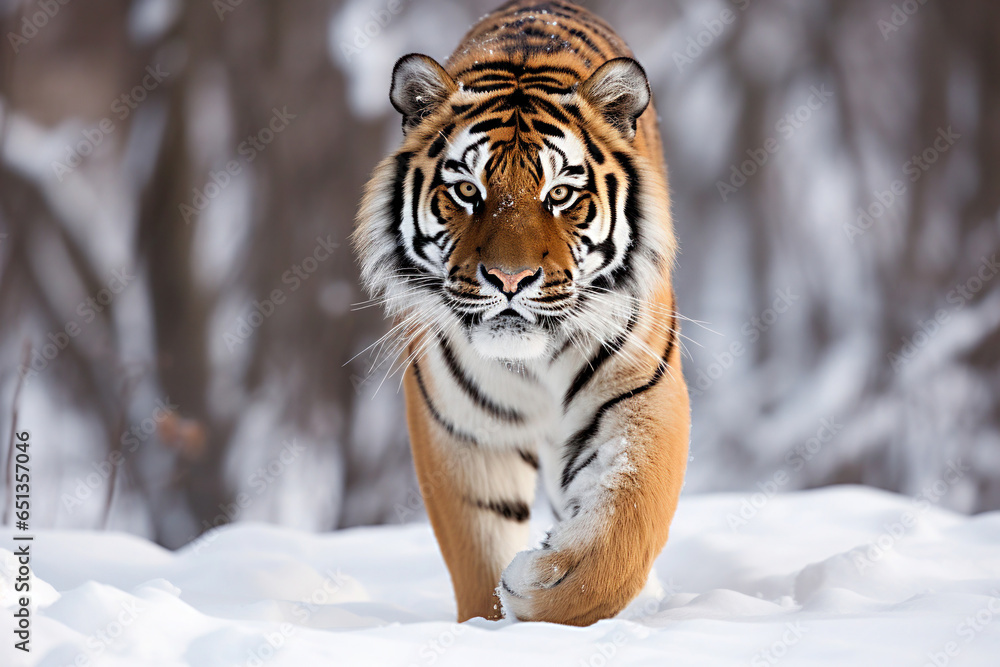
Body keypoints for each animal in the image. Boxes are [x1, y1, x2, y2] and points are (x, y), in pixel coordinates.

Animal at [354, 0, 690, 626]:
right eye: (467, 191)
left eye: (560, 194)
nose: (509, 280)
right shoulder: (460, 429)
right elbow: (477, 554)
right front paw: (489, 621)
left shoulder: (641, 389)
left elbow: (628, 524)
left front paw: (540, 582)